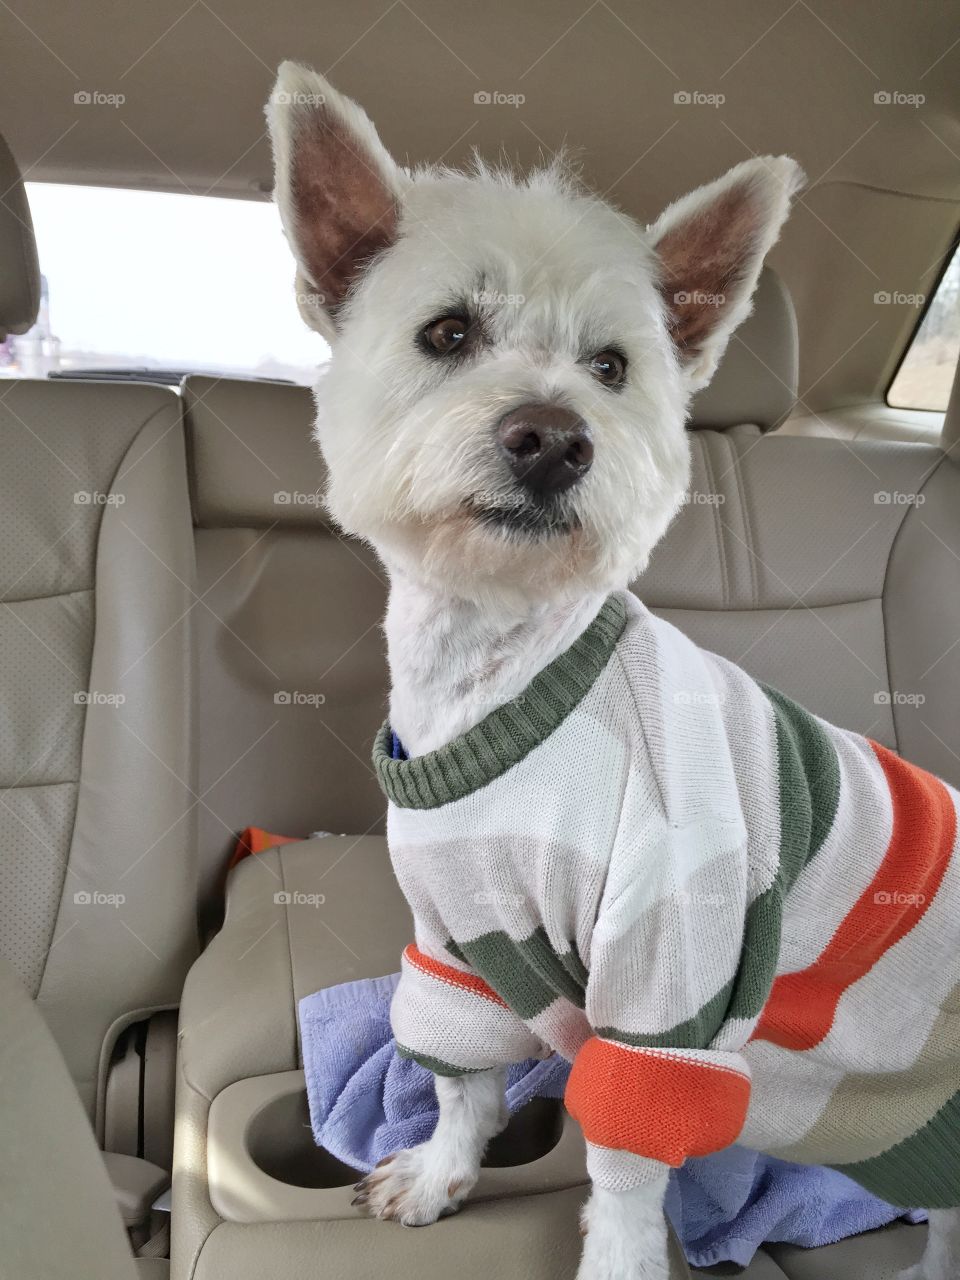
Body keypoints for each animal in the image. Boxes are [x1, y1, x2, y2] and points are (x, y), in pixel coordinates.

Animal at [267, 62, 960, 1280]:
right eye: (448, 330)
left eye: (611, 367)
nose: (553, 437)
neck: (502, 670)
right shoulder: (454, 942)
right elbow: (465, 1080)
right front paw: (442, 1175)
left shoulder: (666, 980)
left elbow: (630, 1169)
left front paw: (619, 1253)